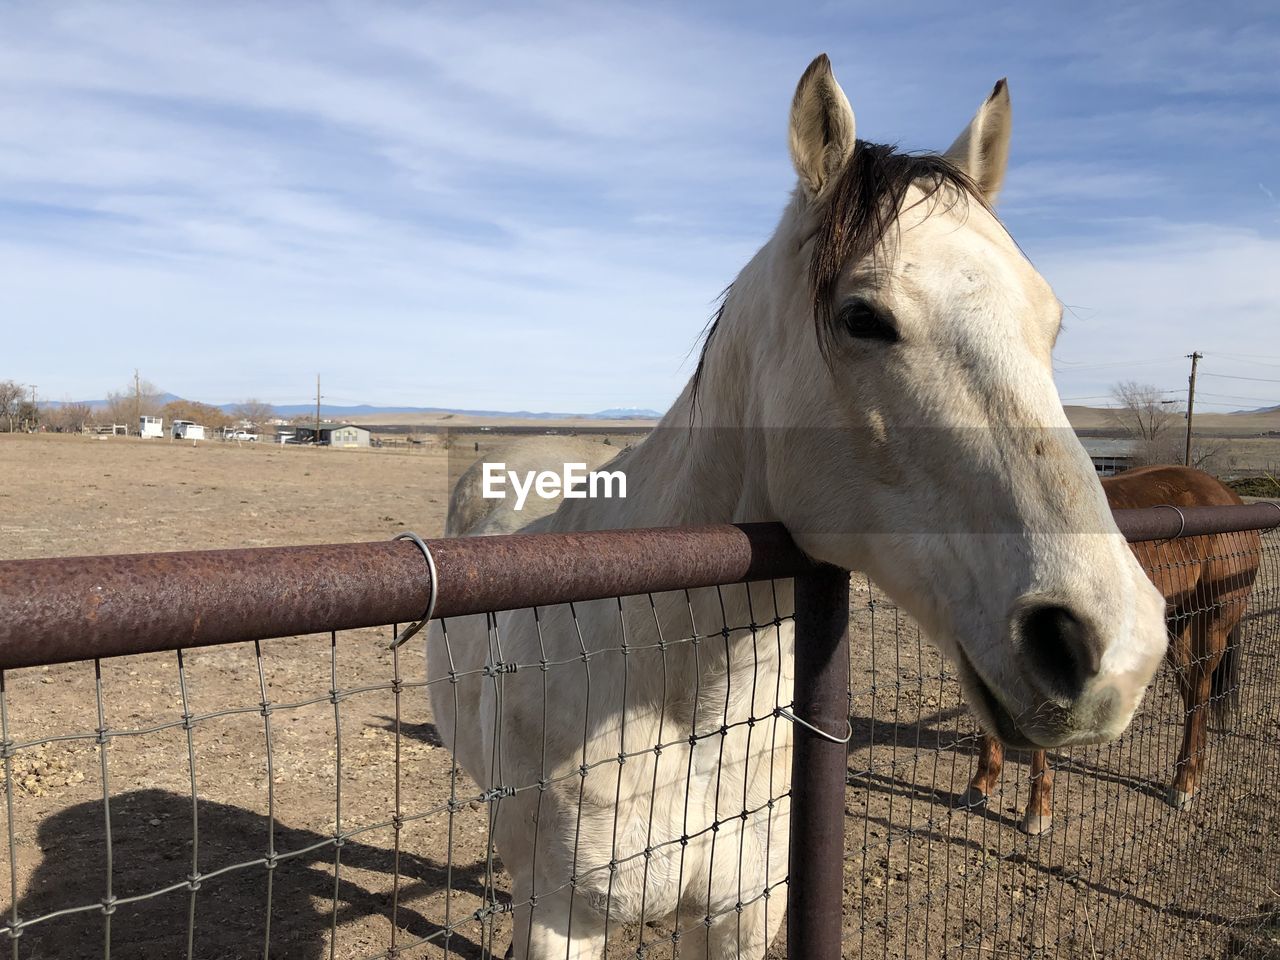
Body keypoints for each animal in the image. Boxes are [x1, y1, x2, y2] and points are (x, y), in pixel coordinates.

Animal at [432, 54, 1172, 960]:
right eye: (863, 317)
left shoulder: (742, 911)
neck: (682, 701)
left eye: (1051, 322)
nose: (1115, 649)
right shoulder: (557, 919)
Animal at [967, 465, 1259, 834]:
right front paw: (980, 784)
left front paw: (1037, 813)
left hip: (1213, 621)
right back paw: (1190, 776)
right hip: (1177, 624)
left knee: (1201, 689)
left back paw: (1184, 785)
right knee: (1195, 694)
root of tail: (1227, 495)